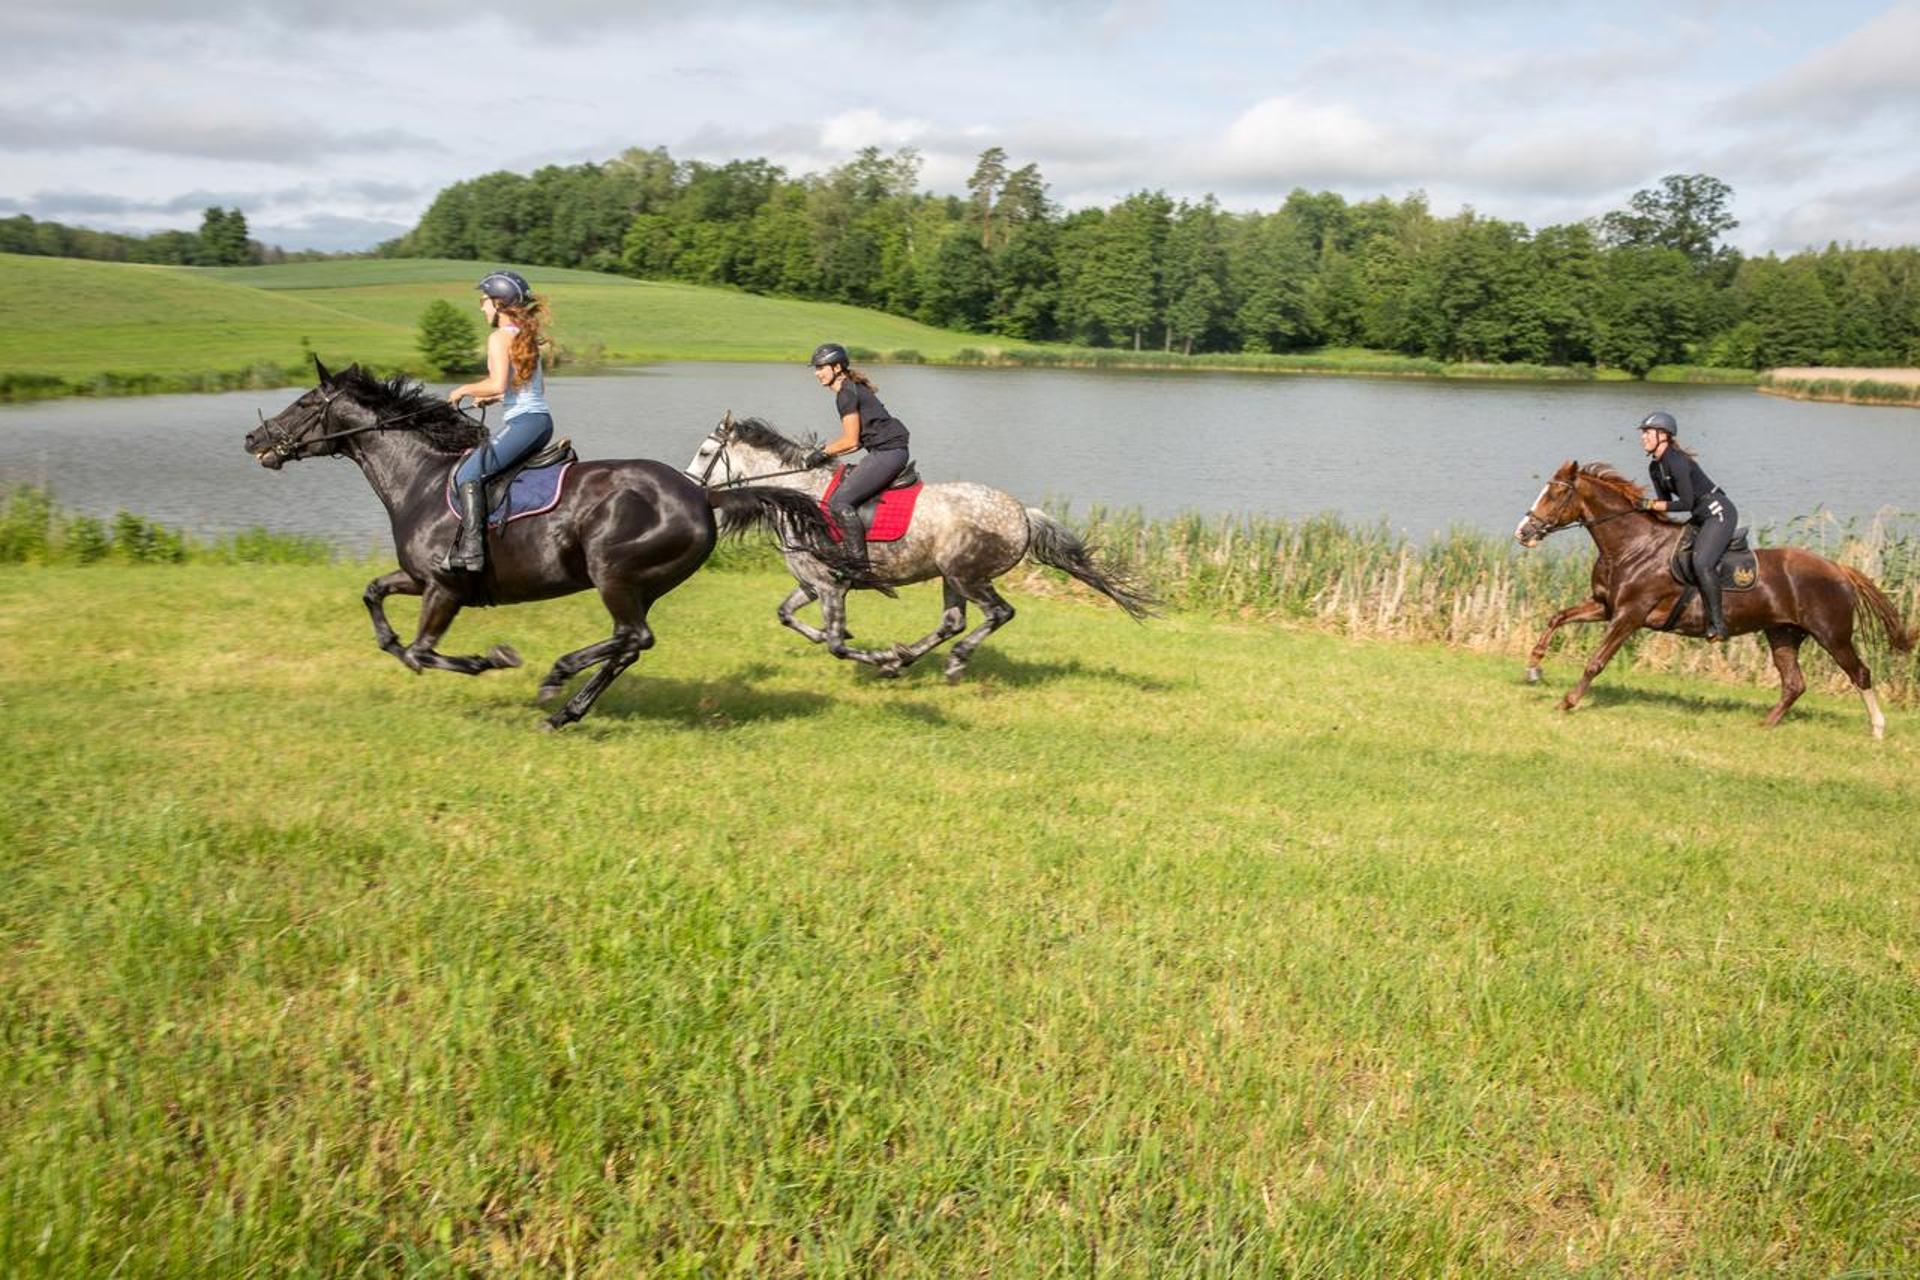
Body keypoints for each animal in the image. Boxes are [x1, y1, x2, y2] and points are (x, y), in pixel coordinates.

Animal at [244, 362, 856, 730]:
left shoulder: (444, 587)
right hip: (639, 584)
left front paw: (489, 658)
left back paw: (556, 679)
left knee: (632, 638)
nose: (253, 439)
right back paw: (565, 709)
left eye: (305, 403)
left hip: (613, 573)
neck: (419, 479)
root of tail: (704, 495)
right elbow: (374, 597)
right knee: (628, 644)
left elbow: (424, 650)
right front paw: (392, 643)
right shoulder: (418, 578)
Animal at [686, 416, 1157, 680]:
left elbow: (837, 644)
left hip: (967, 574)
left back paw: (946, 662)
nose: (690, 486)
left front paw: (874, 656)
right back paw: (908, 657)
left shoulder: (831, 587)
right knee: (952, 622)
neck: (801, 494)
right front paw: (846, 643)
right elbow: (787, 616)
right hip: (951, 577)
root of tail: (1023, 514)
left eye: (706, 451)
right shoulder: (811, 584)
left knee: (998, 614)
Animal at [1515, 460, 1912, 737]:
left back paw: (1877, 728)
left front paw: (1568, 701)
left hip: (1832, 634)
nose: (1523, 532)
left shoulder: (1629, 615)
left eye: (1555, 494)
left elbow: (1595, 661)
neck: (1631, 545)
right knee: (1794, 683)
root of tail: (1839, 569)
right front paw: (1534, 667)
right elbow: (1557, 617)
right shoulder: (1605, 606)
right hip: (1783, 634)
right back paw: (1766, 724)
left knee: (1859, 673)